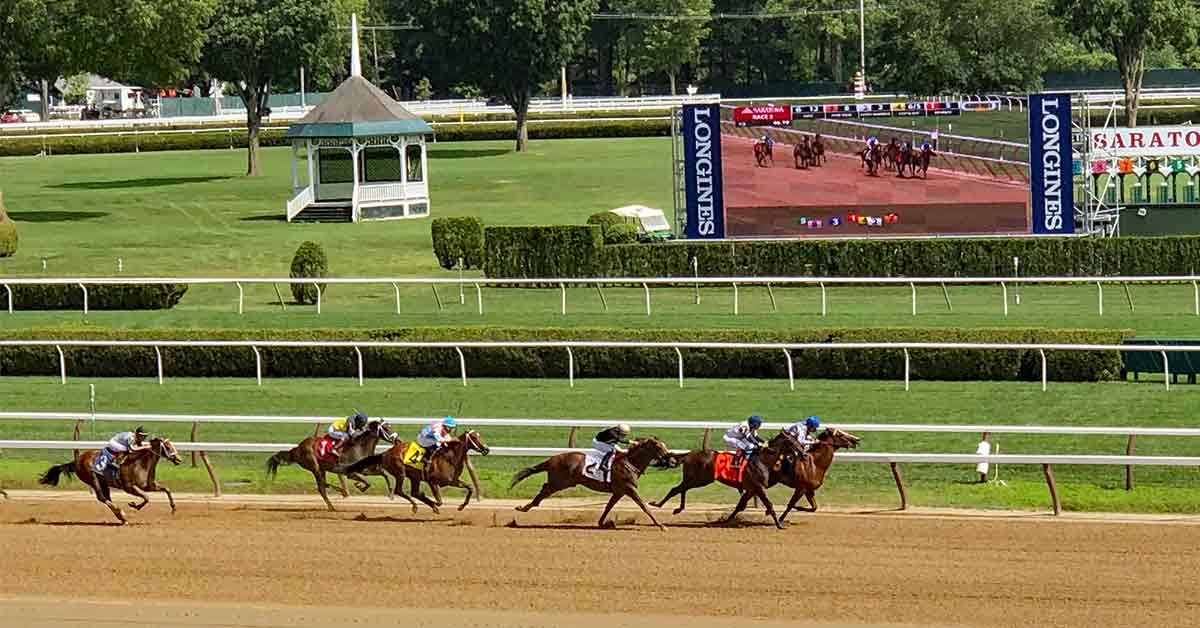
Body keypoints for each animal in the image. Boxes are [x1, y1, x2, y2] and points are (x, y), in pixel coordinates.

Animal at [39, 439, 182, 523]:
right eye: (168, 446)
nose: (179, 459)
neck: (140, 462)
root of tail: (77, 460)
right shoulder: (128, 487)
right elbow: (146, 497)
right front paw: (134, 505)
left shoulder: (147, 485)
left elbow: (166, 489)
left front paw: (174, 508)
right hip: (93, 479)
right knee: (102, 498)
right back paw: (121, 514)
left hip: (104, 482)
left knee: (106, 497)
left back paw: (121, 517)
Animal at [265, 417, 396, 511]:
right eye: (386, 428)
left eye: (389, 426)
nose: (396, 438)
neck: (359, 447)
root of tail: (297, 448)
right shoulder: (350, 472)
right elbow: (367, 481)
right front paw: (359, 485)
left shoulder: (365, 469)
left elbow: (383, 474)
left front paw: (391, 493)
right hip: (314, 467)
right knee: (321, 487)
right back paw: (336, 500)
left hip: (321, 469)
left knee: (323, 485)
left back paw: (337, 498)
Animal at [350, 429, 489, 513]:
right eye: (474, 437)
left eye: (479, 436)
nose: (486, 449)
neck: (449, 457)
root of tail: (385, 453)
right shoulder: (433, 482)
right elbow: (439, 501)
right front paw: (434, 505)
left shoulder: (453, 481)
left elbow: (470, 488)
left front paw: (461, 506)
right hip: (400, 473)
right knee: (400, 490)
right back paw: (415, 506)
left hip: (414, 477)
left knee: (414, 492)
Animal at [508, 437, 672, 530]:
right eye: (659, 447)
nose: (670, 460)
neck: (630, 462)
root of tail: (551, 459)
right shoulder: (629, 488)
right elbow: (644, 506)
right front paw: (661, 525)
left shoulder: (619, 491)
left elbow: (608, 507)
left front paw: (603, 523)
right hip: (560, 482)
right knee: (544, 490)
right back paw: (524, 507)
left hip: (561, 482)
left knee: (544, 489)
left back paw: (525, 507)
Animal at [652, 429, 801, 528]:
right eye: (791, 441)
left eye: (797, 440)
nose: (802, 452)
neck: (764, 460)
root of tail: (689, 454)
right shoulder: (758, 487)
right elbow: (769, 504)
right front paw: (779, 524)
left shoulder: (751, 489)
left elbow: (740, 506)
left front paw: (726, 520)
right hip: (698, 480)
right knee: (675, 489)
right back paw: (658, 504)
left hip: (696, 479)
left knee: (681, 489)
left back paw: (677, 508)